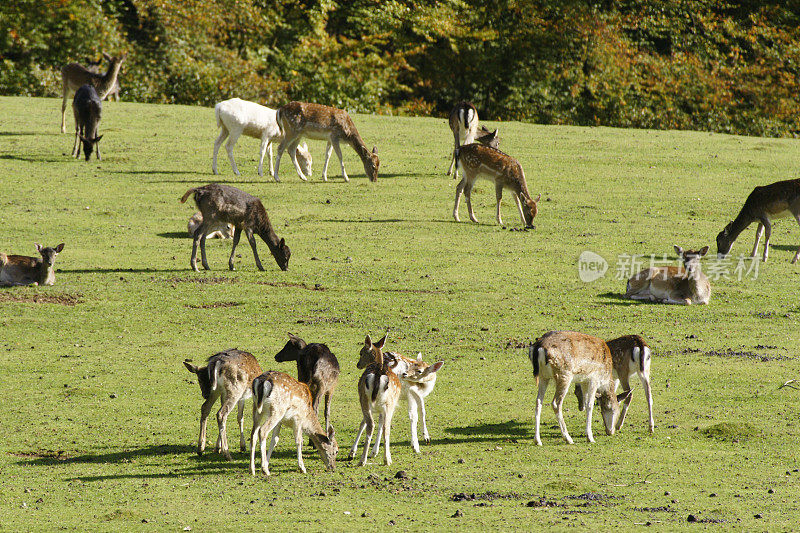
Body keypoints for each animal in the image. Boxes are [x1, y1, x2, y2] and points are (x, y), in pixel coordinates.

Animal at [348, 332, 400, 466]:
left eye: (361, 352)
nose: (358, 364)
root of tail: (378, 375)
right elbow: (379, 424)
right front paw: (374, 452)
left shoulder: (364, 402)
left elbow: (363, 423)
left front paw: (352, 452)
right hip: (389, 403)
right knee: (385, 426)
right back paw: (387, 459)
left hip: (366, 400)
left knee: (372, 425)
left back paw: (362, 460)